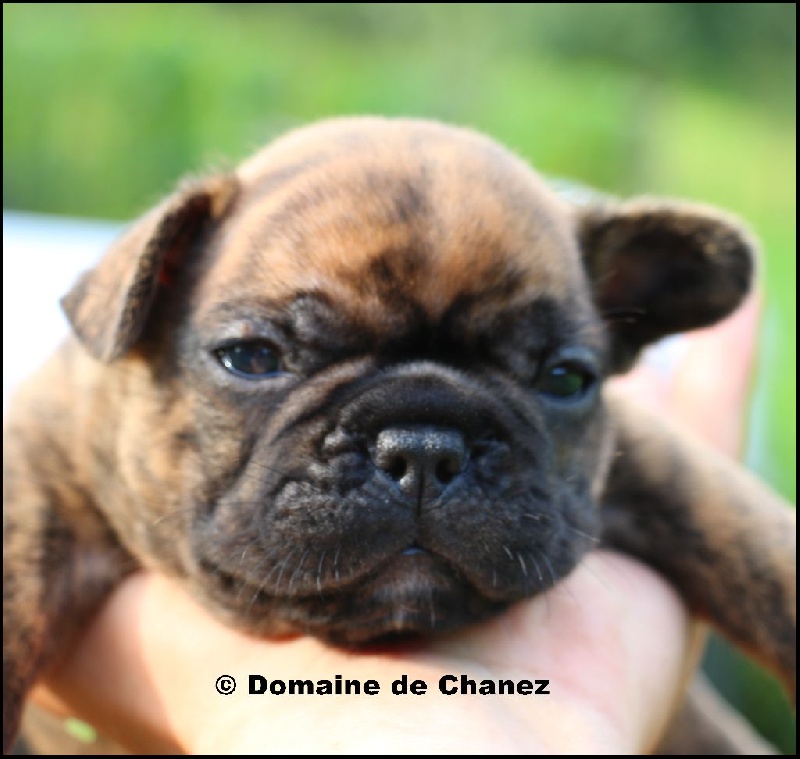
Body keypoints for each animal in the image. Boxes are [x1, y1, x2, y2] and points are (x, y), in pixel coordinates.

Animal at [3, 116, 795, 754]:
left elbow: (748, 535)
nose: (423, 446)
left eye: (566, 379)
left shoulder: (656, 459)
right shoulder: (36, 468)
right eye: (251, 358)